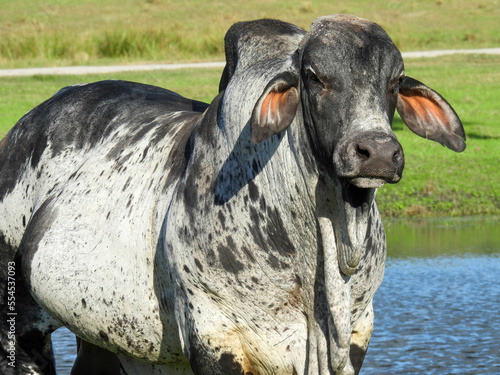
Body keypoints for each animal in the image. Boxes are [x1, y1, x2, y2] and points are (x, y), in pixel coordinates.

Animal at [1, 14, 466, 375]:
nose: (378, 152)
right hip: (20, 329)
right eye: (315, 76)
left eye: (396, 81)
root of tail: (25, 125)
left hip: (104, 339)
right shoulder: (214, 335)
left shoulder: (357, 333)